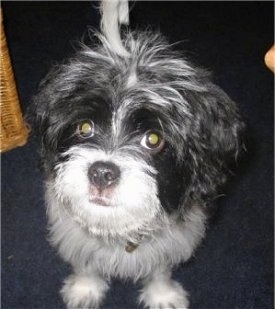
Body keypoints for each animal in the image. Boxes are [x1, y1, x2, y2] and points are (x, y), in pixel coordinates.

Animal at [28, 1, 246, 306]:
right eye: (84, 127)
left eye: (153, 139)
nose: (102, 172)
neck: (119, 231)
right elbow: (85, 262)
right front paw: (85, 289)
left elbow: (160, 268)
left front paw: (162, 295)